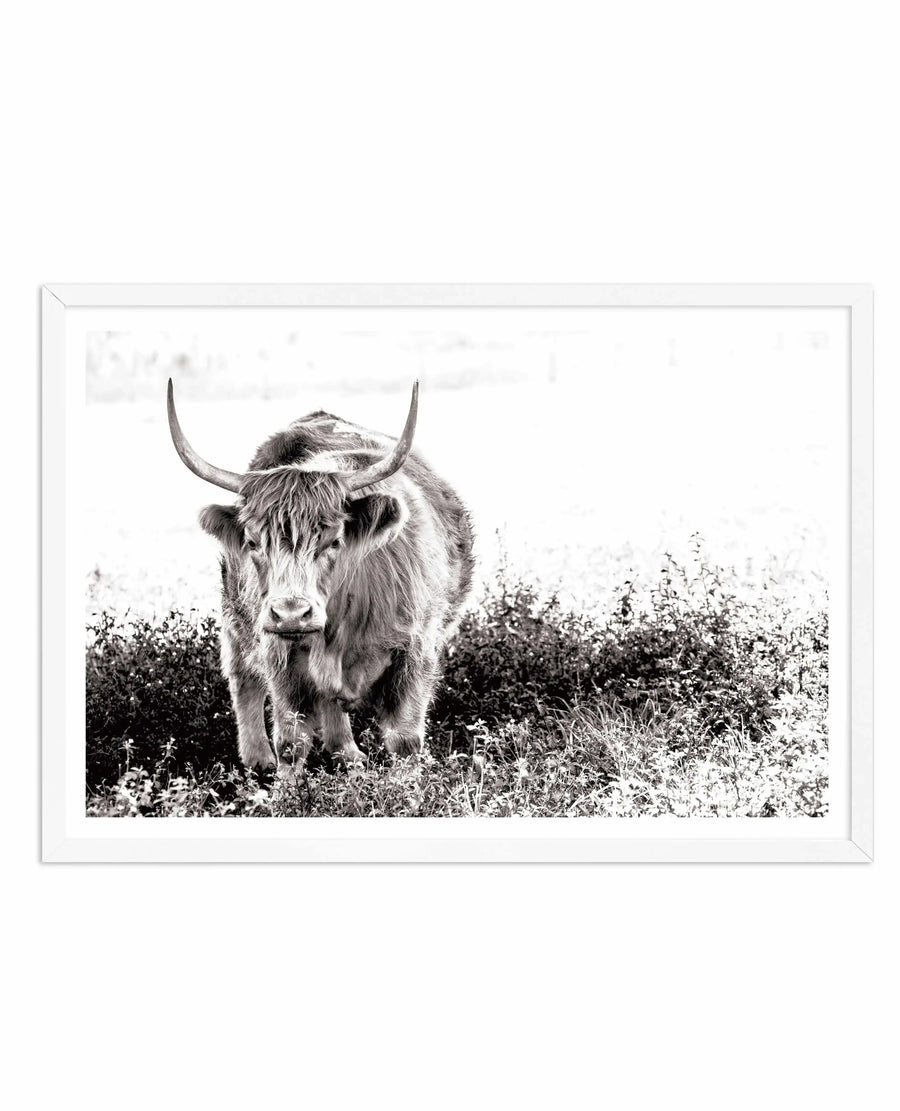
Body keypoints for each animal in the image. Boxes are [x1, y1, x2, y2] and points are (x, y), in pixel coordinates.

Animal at [167, 379, 474, 770]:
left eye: (335, 541)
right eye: (253, 542)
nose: (291, 614)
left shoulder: (415, 652)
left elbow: (404, 740)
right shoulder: (279, 656)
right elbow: (290, 741)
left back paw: (349, 758)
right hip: (235, 618)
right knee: (244, 679)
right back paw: (258, 761)